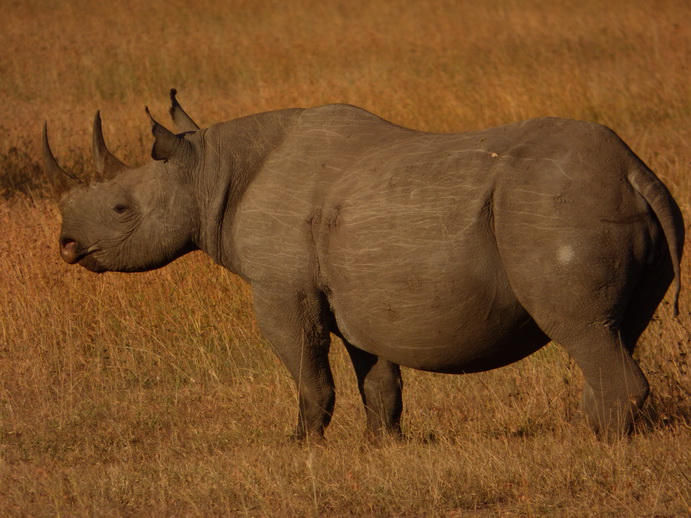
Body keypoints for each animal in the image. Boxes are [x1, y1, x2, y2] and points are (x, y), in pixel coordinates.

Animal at [46, 91, 684, 440]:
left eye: (121, 209)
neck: (207, 173)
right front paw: (383, 446)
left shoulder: (280, 289)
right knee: (615, 330)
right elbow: (377, 377)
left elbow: (308, 371)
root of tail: (634, 169)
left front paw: (301, 445)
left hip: (555, 209)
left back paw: (591, 444)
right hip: (596, 203)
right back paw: (590, 432)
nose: (67, 245)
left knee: (583, 330)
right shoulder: (360, 294)